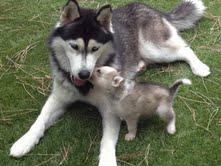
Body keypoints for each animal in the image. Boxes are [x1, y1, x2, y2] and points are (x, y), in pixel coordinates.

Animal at [10, 0, 210, 166]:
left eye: (95, 48)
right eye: (74, 46)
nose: (84, 74)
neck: (86, 86)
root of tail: (145, 6)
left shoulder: (111, 110)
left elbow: (106, 140)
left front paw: (107, 160)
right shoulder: (59, 97)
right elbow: (40, 119)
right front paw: (24, 141)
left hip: (155, 49)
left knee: (185, 50)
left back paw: (199, 67)